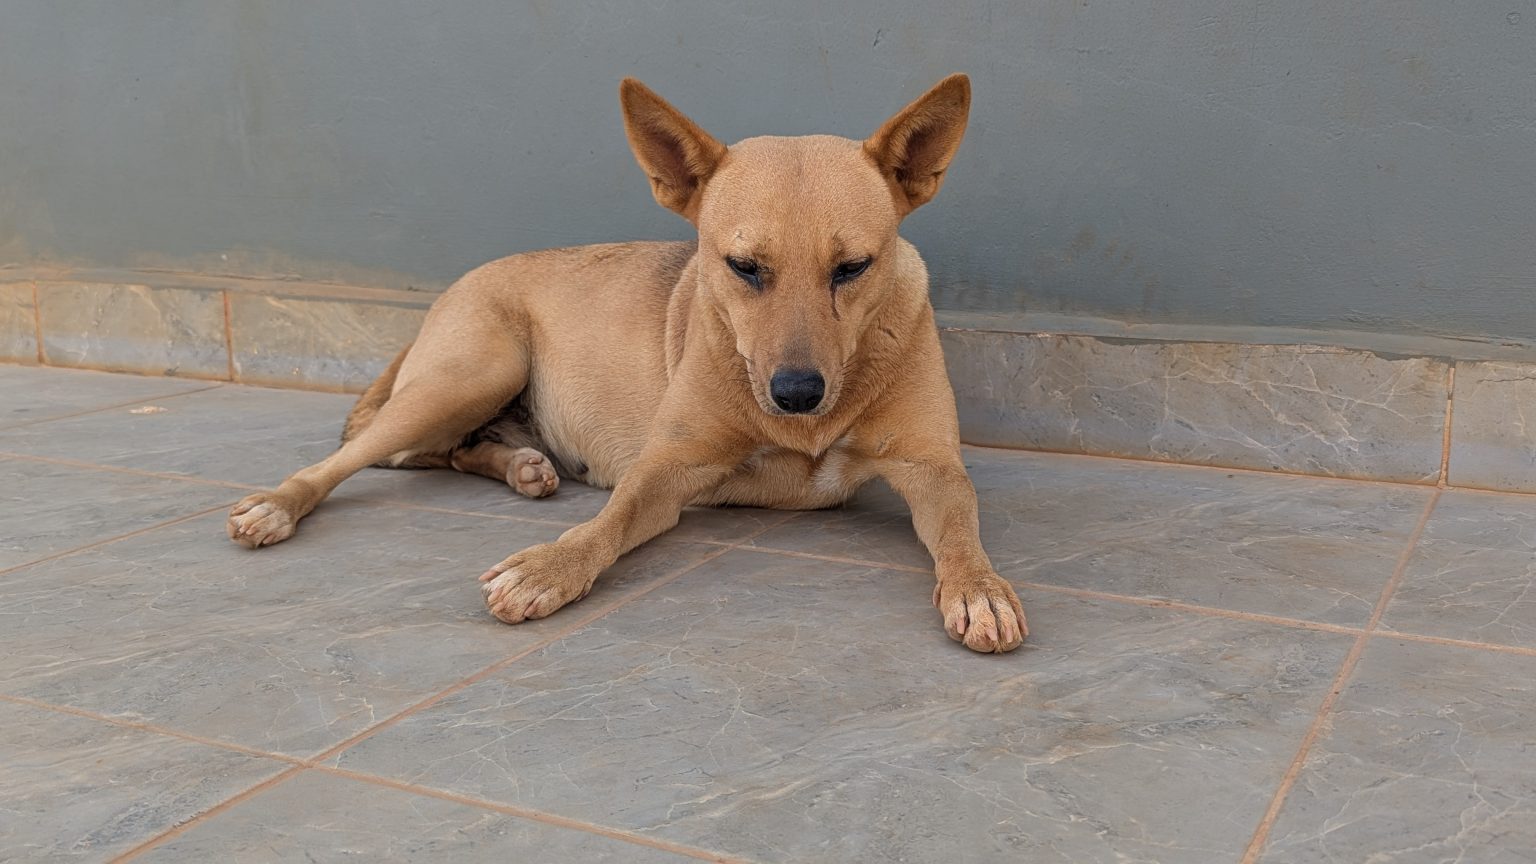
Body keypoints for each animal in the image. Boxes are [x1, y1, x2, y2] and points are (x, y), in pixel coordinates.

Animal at [227, 74, 1027, 653]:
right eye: (742, 267)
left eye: (853, 267)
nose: (798, 393)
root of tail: (457, 284)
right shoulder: (665, 470)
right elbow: (607, 524)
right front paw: (551, 566)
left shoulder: (933, 469)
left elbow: (961, 528)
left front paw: (980, 586)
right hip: (470, 375)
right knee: (357, 454)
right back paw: (277, 504)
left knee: (447, 451)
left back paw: (521, 464)